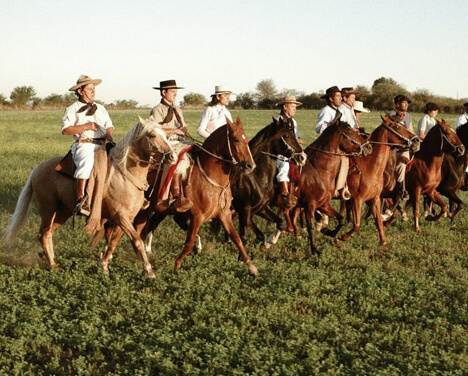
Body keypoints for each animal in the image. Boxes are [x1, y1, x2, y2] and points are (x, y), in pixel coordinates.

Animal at [3, 117, 177, 280]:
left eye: (166, 134)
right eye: (152, 135)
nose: (172, 156)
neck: (124, 175)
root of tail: (37, 169)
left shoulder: (127, 218)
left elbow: (113, 243)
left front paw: (104, 266)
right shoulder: (120, 216)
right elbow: (137, 241)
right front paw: (150, 272)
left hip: (62, 213)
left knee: (48, 233)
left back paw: (50, 259)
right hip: (48, 210)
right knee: (44, 234)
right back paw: (52, 265)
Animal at [100, 116, 260, 278]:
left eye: (246, 140)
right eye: (236, 140)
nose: (250, 165)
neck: (210, 179)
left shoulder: (224, 214)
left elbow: (237, 239)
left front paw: (251, 267)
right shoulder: (197, 216)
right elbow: (189, 241)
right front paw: (177, 265)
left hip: (146, 212)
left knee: (137, 232)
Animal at [229, 116, 308, 248]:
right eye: (286, 135)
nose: (302, 157)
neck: (256, 178)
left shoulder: (261, 208)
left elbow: (277, 224)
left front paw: (267, 243)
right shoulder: (245, 210)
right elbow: (243, 237)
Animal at [288, 114, 372, 256]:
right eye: (349, 132)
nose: (369, 147)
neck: (318, 169)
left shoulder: (323, 204)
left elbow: (341, 219)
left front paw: (329, 232)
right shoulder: (310, 205)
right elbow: (311, 227)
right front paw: (315, 250)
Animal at [340, 116, 420, 248]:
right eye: (396, 126)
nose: (417, 140)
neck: (370, 166)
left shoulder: (376, 197)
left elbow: (379, 219)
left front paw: (384, 241)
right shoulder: (357, 199)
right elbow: (357, 224)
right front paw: (343, 236)